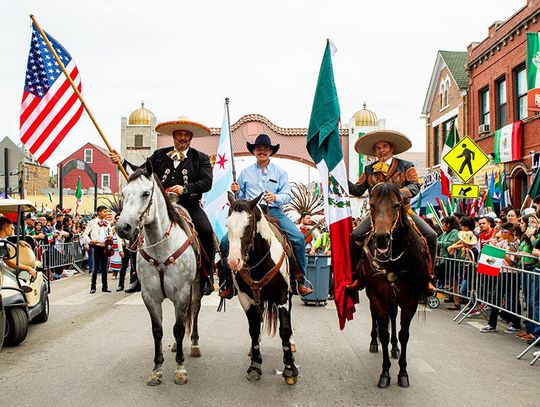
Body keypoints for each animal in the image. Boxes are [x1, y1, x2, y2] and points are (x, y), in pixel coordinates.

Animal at [116, 162, 202, 386]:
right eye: (124, 193)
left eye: (146, 193)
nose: (122, 228)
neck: (161, 247)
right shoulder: (150, 296)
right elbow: (158, 330)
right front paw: (156, 369)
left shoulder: (182, 293)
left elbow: (179, 329)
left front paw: (180, 369)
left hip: (196, 286)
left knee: (195, 310)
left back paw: (194, 344)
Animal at [226, 194, 298, 386]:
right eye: (227, 224)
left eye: (248, 225)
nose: (233, 261)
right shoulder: (246, 299)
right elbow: (253, 329)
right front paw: (255, 365)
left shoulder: (282, 297)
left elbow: (285, 330)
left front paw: (290, 368)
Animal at [360, 183, 432, 390]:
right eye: (372, 205)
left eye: (397, 205)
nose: (382, 238)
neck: (393, 263)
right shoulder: (377, 296)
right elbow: (384, 332)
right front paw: (385, 373)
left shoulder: (410, 301)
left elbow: (404, 334)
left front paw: (403, 373)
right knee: (378, 318)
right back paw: (374, 342)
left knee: (393, 317)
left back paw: (395, 348)